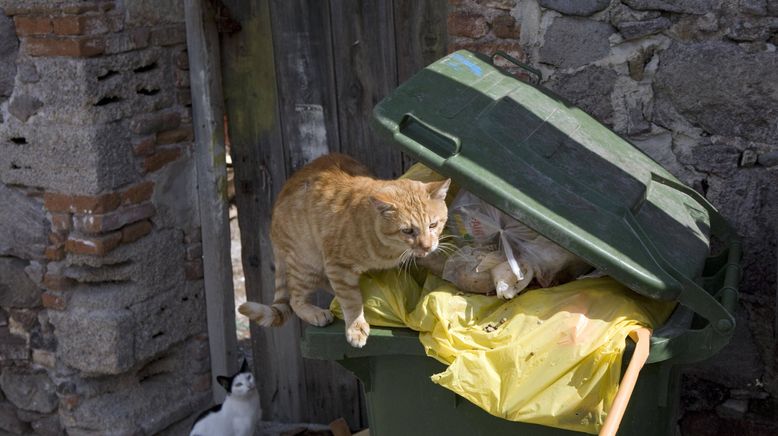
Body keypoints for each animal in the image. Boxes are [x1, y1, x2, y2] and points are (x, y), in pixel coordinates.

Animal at [238, 153, 448, 348]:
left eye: (433, 225)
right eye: (408, 231)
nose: (427, 246)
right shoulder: (338, 266)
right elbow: (351, 300)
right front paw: (356, 328)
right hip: (306, 262)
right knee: (296, 299)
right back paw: (317, 313)